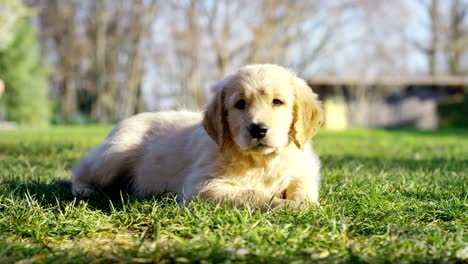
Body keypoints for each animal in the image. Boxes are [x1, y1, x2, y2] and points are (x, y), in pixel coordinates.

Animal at [72, 63, 322, 208]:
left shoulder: (303, 170)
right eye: (240, 104)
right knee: (79, 169)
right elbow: (254, 195)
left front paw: (303, 204)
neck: (262, 162)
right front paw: (292, 207)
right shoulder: (202, 186)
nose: (258, 129)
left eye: (277, 102)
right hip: (112, 156)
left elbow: (302, 188)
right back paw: (83, 189)